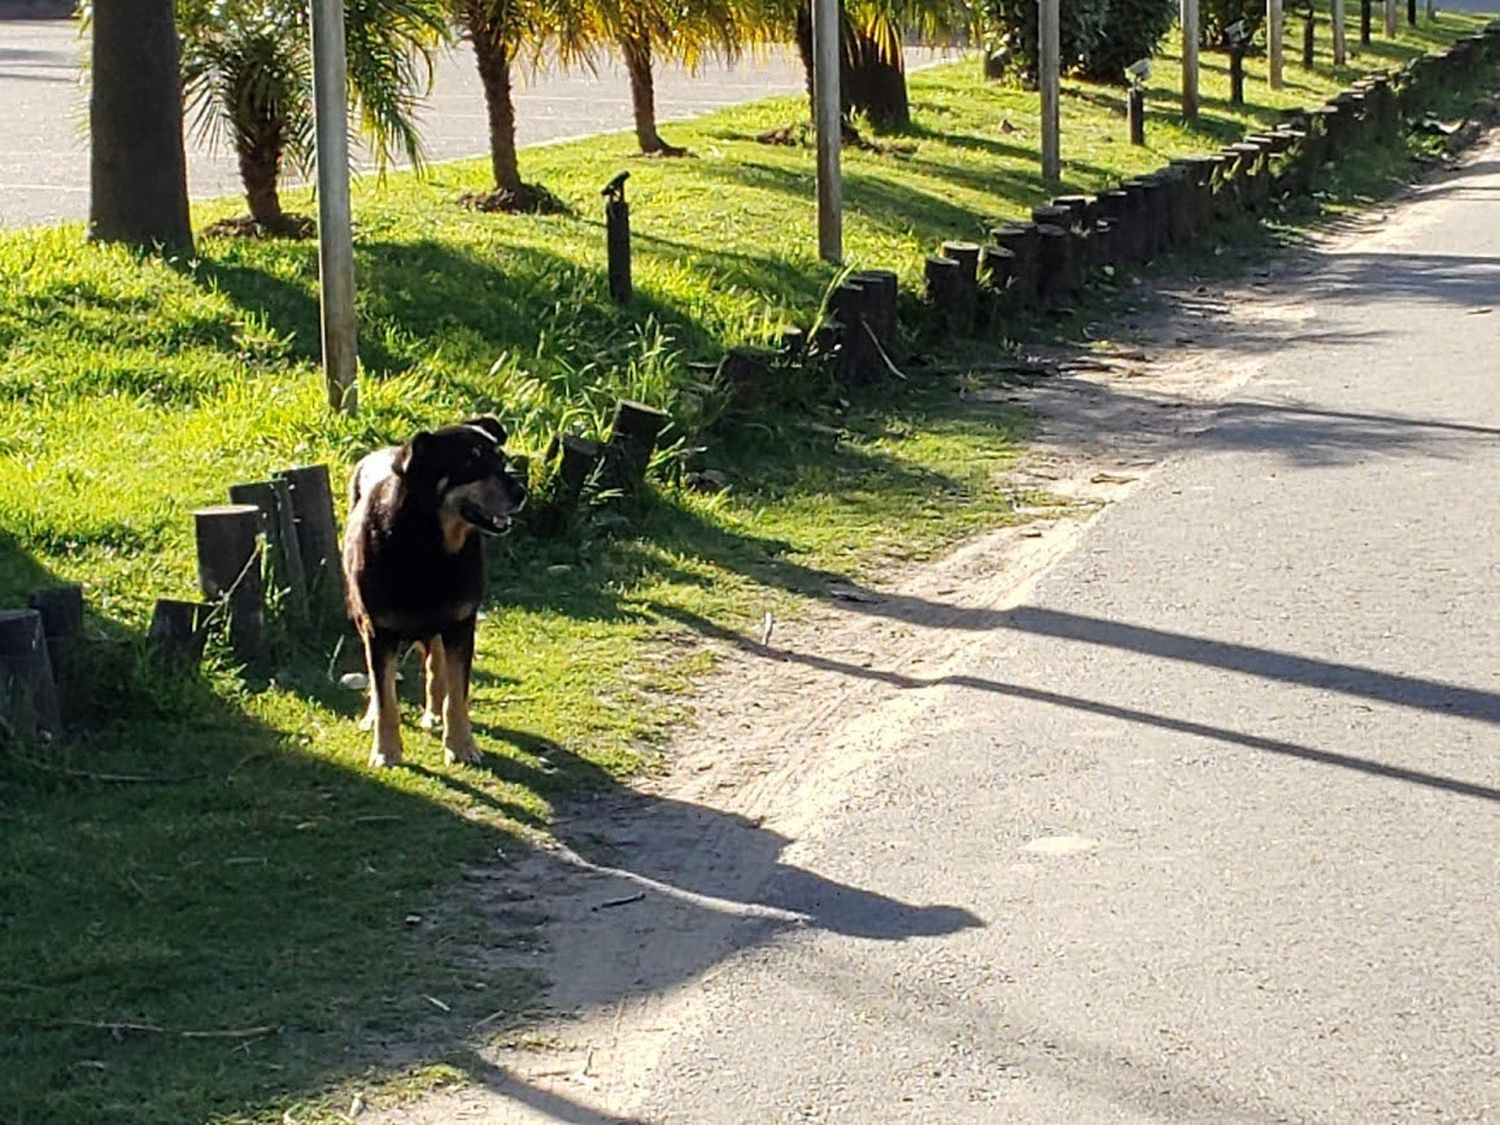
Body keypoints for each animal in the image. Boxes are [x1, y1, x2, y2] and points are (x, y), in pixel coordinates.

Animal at [340, 420, 528, 774]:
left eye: (501, 459)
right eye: (470, 463)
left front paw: (461, 746)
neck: (430, 545)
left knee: (435, 664)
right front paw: (386, 751)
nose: (521, 492)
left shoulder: (461, 624)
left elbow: (458, 694)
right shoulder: (378, 630)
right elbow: (385, 696)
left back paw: (435, 710)